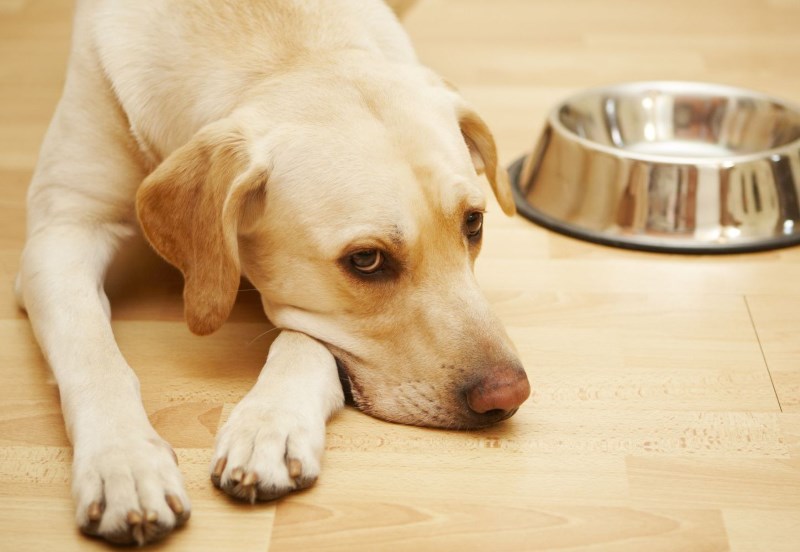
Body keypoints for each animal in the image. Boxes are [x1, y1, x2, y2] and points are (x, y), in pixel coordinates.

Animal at [15, 0, 532, 544]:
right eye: (366, 260)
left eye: (473, 223)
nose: (509, 395)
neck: (285, 50)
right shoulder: (62, 231)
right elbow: (93, 353)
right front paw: (125, 463)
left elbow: (304, 341)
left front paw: (270, 425)